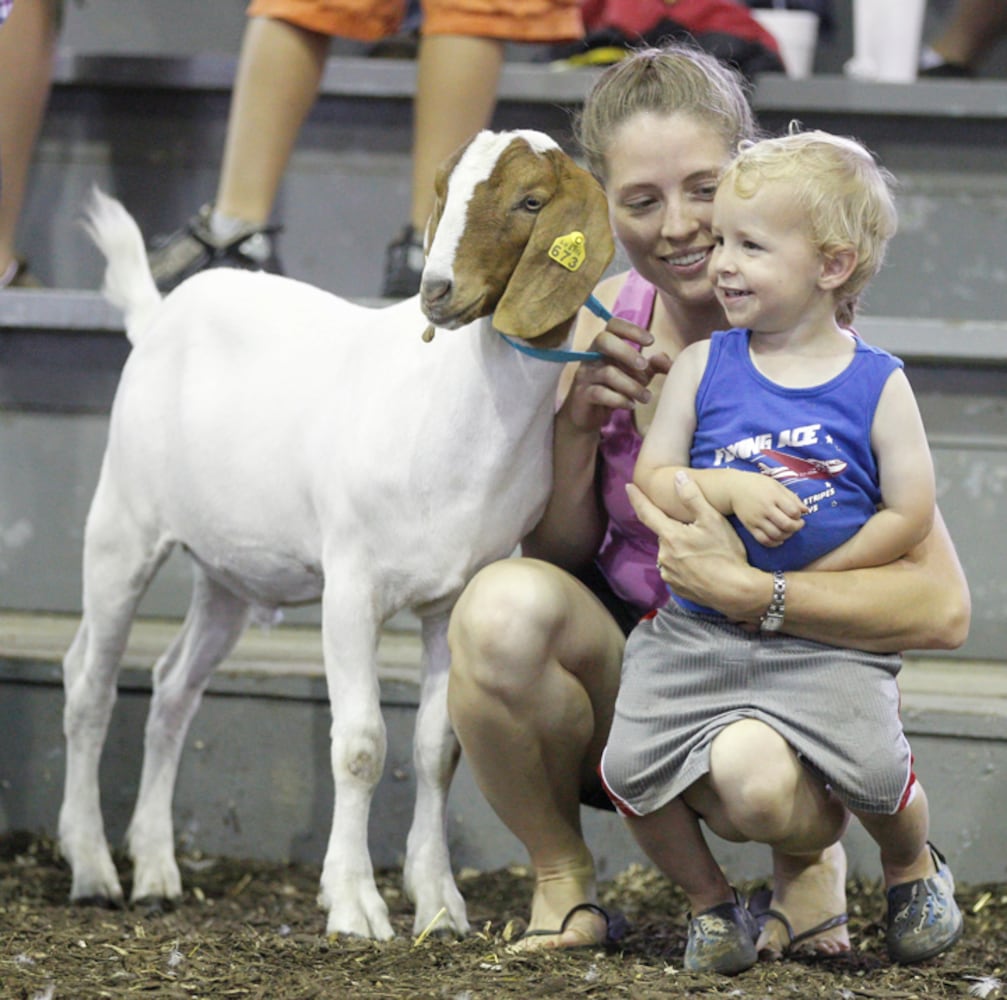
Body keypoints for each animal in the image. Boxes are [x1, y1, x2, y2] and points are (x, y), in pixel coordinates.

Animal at [60, 128, 612, 938]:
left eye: (531, 201)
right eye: (444, 191)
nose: (437, 291)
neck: (452, 404)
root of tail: (155, 317)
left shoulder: (450, 602)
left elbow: (435, 748)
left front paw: (438, 902)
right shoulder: (352, 586)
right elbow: (360, 746)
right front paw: (354, 903)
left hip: (225, 575)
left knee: (171, 689)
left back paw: (157, 870)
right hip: (121, 523)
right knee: (90, 686)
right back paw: (93, 867)